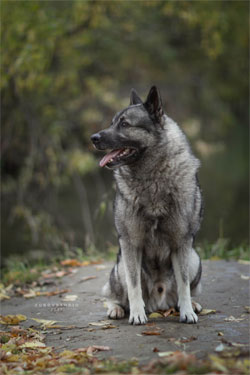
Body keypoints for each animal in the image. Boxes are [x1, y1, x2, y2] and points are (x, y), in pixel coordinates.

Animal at [91, 86, 202, 324]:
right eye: (112, 122)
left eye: (124, 124)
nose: (93, 138)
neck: (153, 179)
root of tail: (159, 304)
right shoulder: (130, 244)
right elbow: (134, 286)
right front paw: (137, 314)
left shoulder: (182, 243)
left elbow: (184, 284)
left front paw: (187, 311)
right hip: (120, 266)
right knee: (114, 294)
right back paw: (118, 309)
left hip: (194, 258)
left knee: (186, 289)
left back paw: (190, 305)